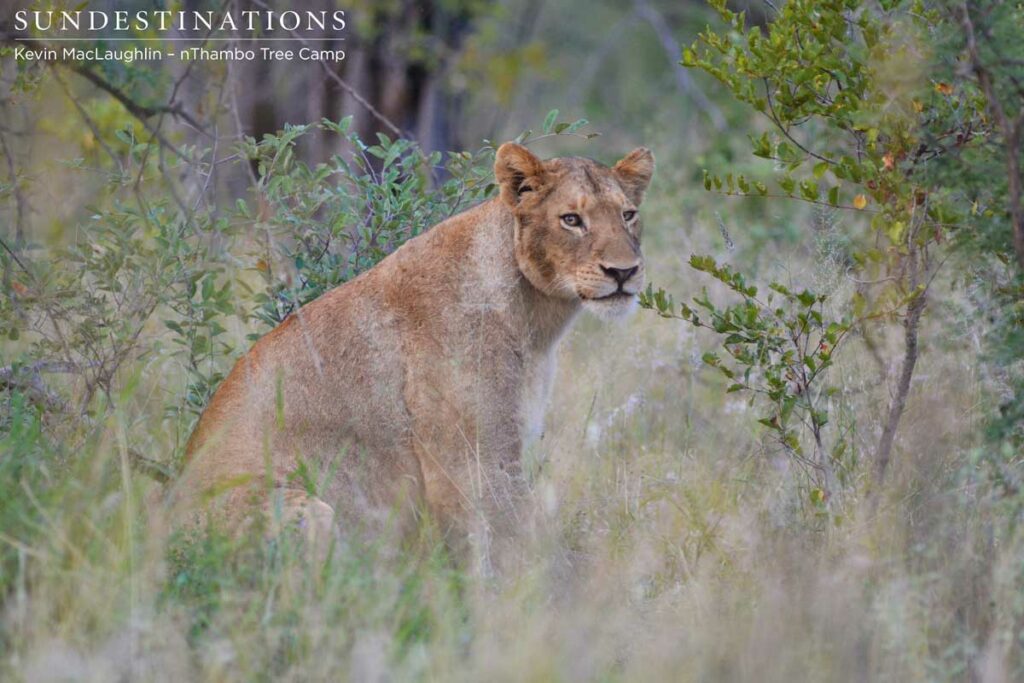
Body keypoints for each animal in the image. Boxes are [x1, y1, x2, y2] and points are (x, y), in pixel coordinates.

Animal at [174, 142, 654, 568]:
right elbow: (509, 544)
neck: (536, 319)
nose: (624, 271)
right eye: (571, 219)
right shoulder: (471, 460)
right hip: (304, 509)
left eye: (628, 214)